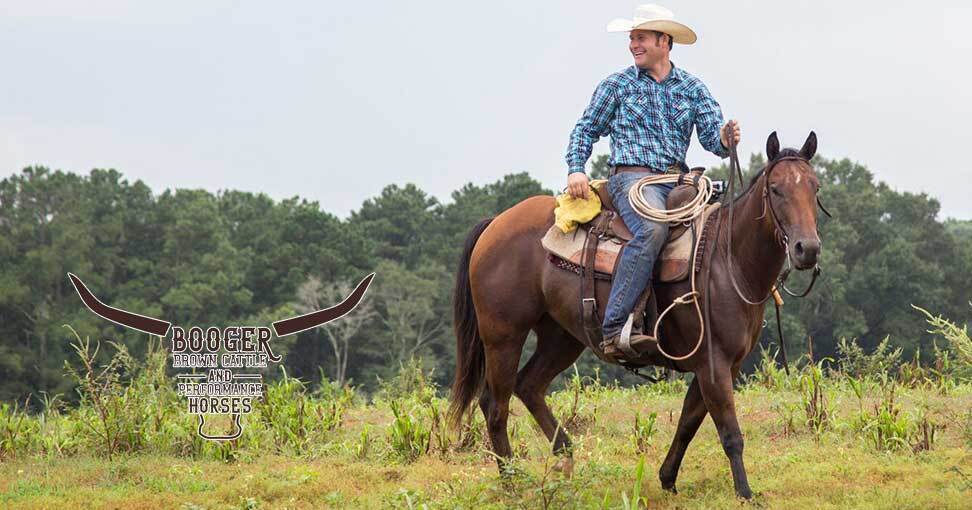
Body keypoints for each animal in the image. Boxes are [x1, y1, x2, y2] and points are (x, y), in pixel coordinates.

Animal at [448, 131, 820, 498]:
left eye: (814, 188)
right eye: (776, 189)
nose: (808, 249)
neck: (729, 261)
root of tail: (495, 223)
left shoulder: (722, 365)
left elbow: (687, 422)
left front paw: (668, 479)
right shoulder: (714, 364)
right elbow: (730, 433)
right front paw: (744, 492)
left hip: (561, 338)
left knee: (528, 386)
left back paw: (565, 457)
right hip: (503, 337)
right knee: (495, 406)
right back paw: (511, 482)